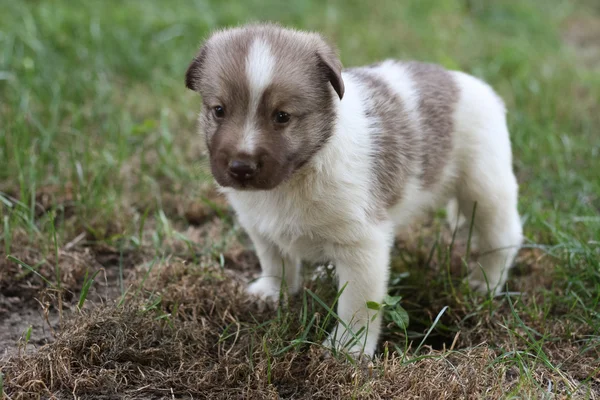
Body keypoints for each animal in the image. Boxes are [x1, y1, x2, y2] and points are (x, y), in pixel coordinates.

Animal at [185, 23, 524, 358]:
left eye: (282, 116)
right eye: (219, 110)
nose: (241, 167)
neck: (299, 174)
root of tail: (468, 82)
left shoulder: (362, 244)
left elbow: (357, 306)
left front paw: (348, 348)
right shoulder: (260, 227)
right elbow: (274, 261)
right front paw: (271, 293)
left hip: (486, 189)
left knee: (502, 238)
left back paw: (484, 284)